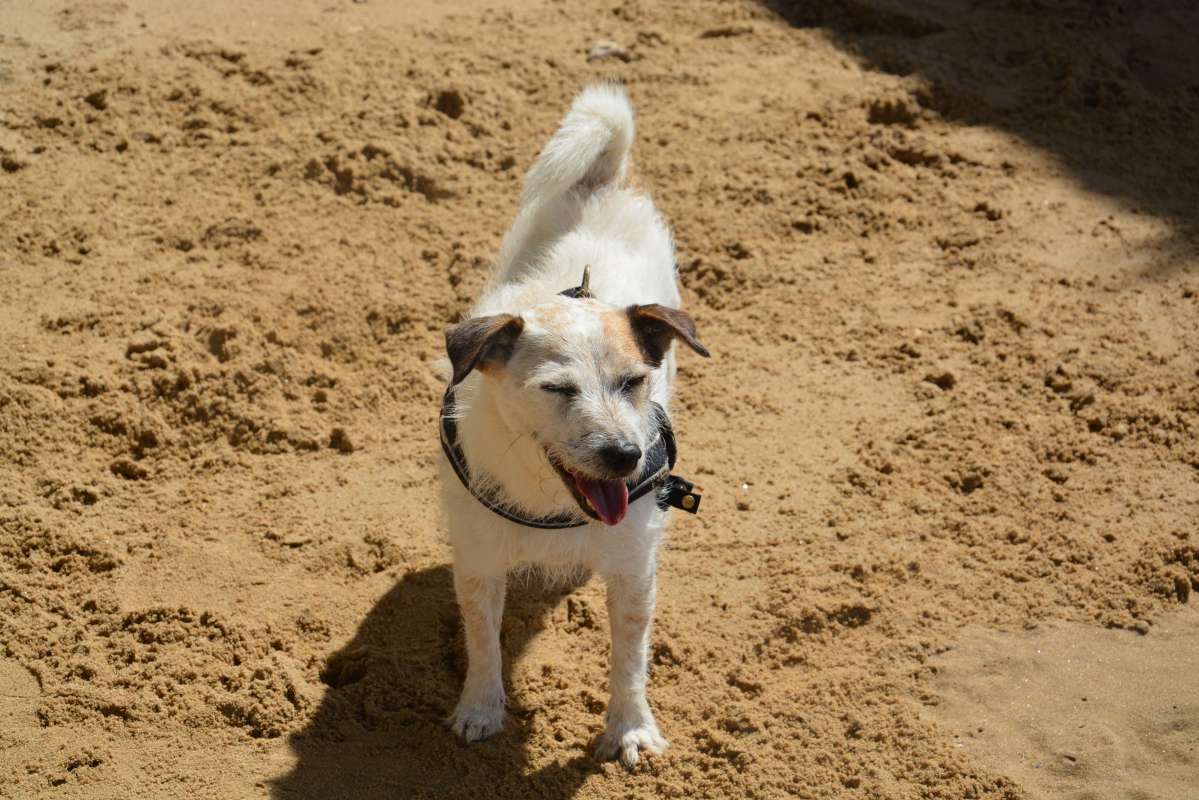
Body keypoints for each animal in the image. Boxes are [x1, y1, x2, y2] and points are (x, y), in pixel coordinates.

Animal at [438, 82, 705, 767]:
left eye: (633, 382)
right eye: (558, 389)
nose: (625, 456)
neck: (550, 501)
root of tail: (598, 182)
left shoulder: (633, 569)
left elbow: (630, 657)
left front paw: (629, 727)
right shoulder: (479, 560)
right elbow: (483, 640)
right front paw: (481, 710)